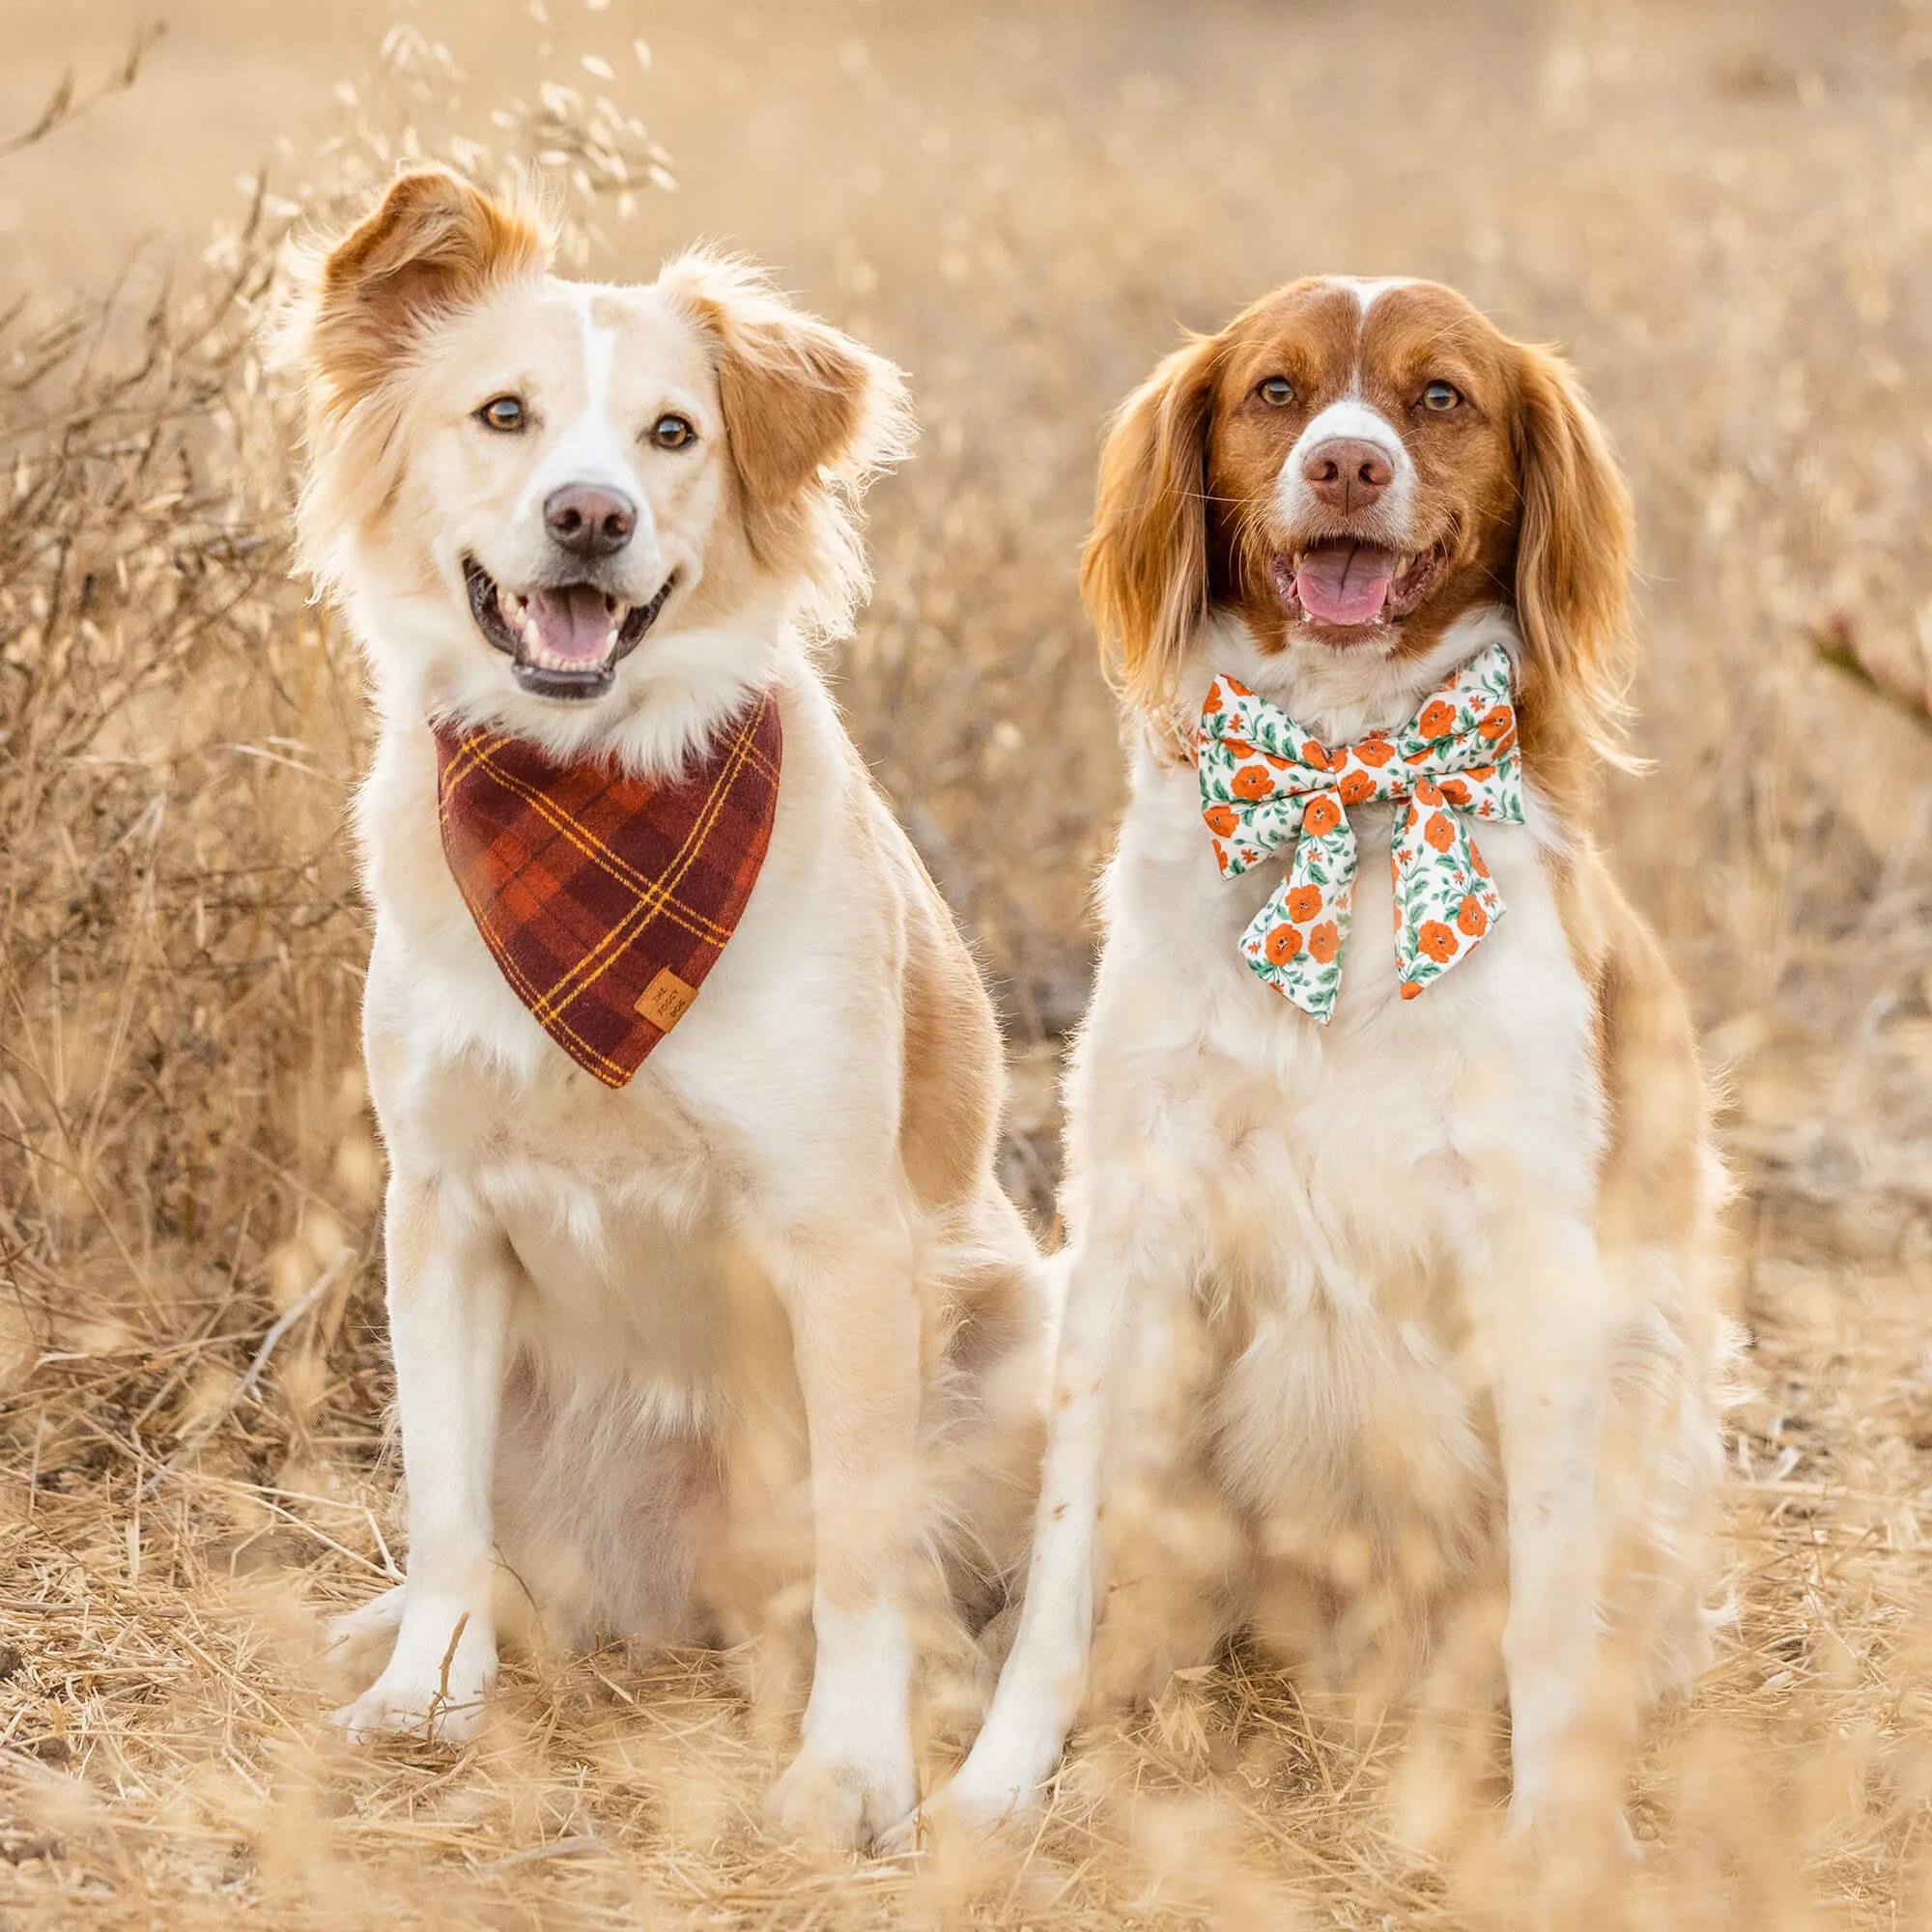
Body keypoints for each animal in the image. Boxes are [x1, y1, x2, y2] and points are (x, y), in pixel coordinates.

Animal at [280, 170, 1051, 1855]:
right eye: (504, 415)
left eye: (673, 433)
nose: (591, 517)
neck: (589, 804)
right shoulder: (439, 1208)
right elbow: (445, 1505)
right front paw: (427, 1695)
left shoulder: (841, 1238)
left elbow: (858, 1553)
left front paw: (852, 1774)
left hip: (1026, 1318)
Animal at [923, 276, 1739, 1839]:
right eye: (1277, 390)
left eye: (1440, 398)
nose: (1348, 465)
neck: (1349, 792)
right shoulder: (1132, 1230)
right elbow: (1063, 1559)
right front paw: (999, 1781)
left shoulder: (1538, 1261)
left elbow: (1547, 1609)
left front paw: (1555, 1837)